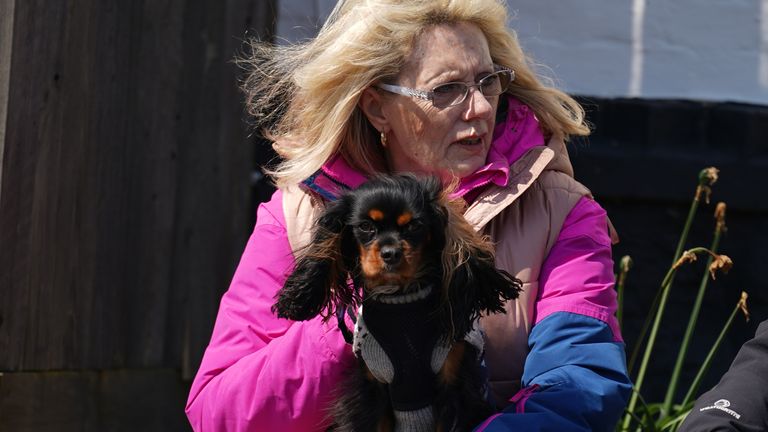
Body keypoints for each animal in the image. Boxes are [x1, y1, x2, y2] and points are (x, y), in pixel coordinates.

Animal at [272, 175, 520, 432]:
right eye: (366, 226)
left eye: (414, 226)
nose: (390, 253)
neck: (400, 298)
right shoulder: (372, 387)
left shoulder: (454, 383)